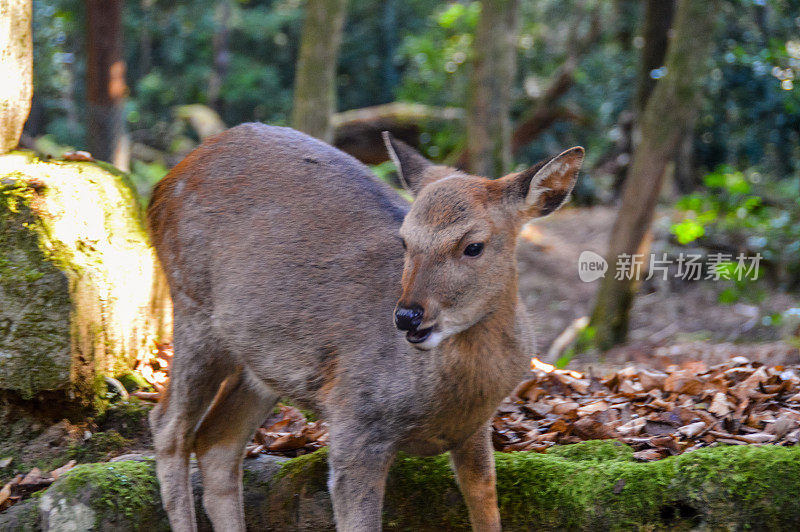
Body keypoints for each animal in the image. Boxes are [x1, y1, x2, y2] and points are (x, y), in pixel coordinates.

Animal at [147, 122, 580, 528]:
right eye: (405, 241)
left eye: (473, 246)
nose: (407, 316)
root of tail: (160, 187)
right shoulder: (354, 419)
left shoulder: (474, 428)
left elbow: (487, 510)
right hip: (192, 307)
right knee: (169, 427)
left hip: (259, 359)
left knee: (216, 443)